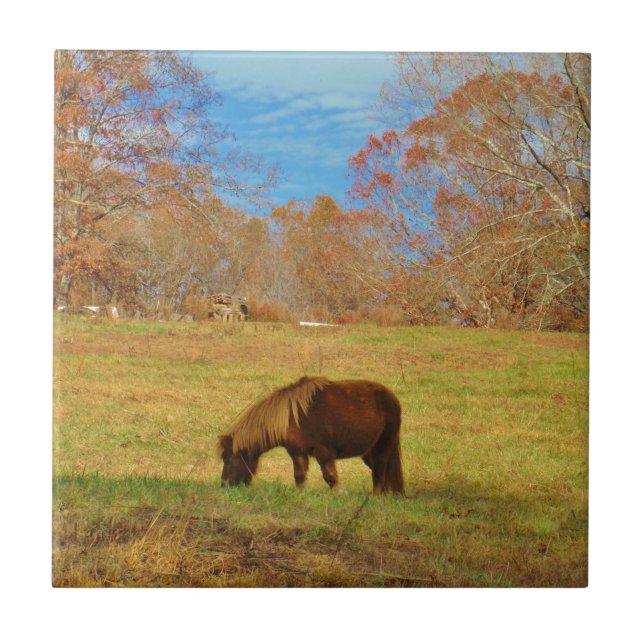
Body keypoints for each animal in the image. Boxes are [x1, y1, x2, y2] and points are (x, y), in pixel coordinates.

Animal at [216, 376, 404, 495]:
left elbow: (330, 478)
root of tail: (392, 398)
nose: (224, 485)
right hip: (368, 453)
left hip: (383, 448)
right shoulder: (298, 453)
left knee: (379, 475)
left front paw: (336, 495)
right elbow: (299, 477)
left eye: (228, 459)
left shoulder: (324, 453)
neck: (291, 417)